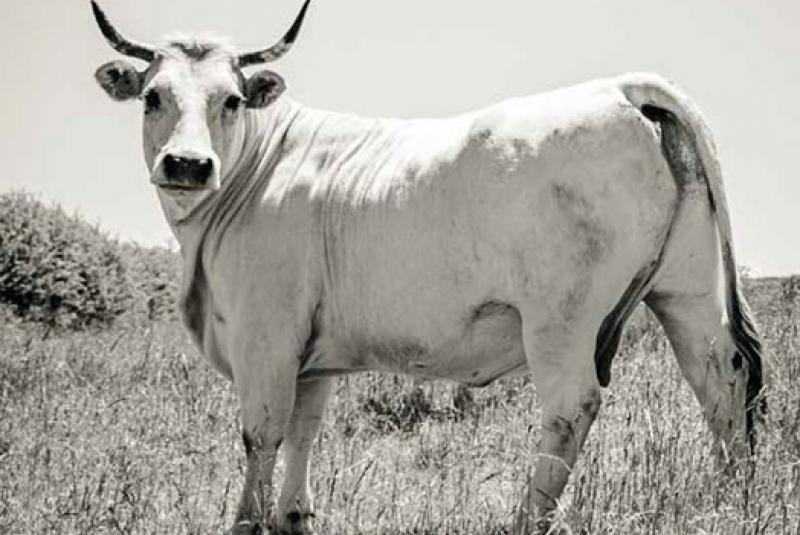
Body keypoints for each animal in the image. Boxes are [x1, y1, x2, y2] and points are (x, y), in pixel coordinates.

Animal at [92, 2, 764, 532]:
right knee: (721, 378)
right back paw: (731, 497)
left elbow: (262, 433)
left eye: (230, 100)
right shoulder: (311, 352)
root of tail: (620, 86)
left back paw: (525, 519)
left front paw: (247, 523)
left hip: (561, 319)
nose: (187, 164)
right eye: (153, 97)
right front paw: (293, 517)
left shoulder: (265, 335)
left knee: (571, 407)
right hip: (686, 289)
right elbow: (305, 429)